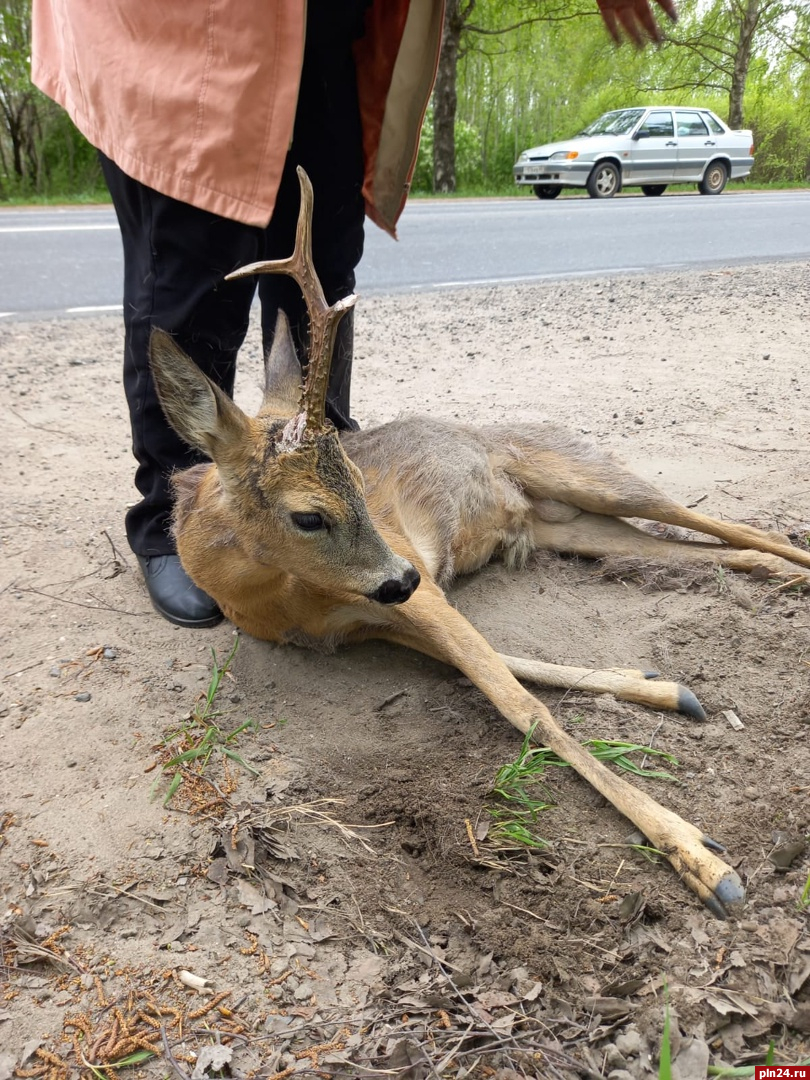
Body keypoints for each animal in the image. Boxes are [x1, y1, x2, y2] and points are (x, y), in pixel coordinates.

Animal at [147, 168, 810, 920]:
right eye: (309, 516)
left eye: (358, 478)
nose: (403, 577)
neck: (276, 601)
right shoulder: (373, 620)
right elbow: (506, 664)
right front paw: (661, 688)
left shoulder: (412, 584)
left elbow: (521, 702)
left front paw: (701, 857)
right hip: (572, 527)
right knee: (707, 547)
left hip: (592, 474)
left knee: (731, 524)